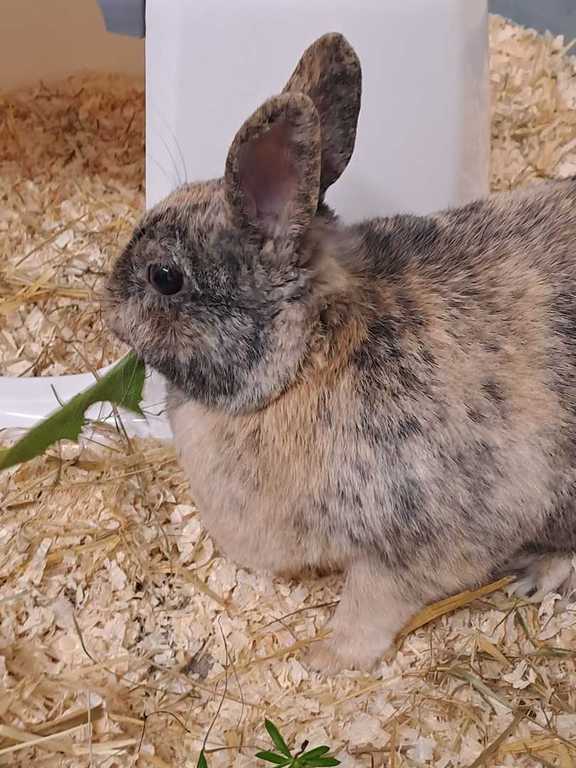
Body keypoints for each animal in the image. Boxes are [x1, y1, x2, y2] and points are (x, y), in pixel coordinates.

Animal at [105, 32, 576, 675]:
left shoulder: (421, 541)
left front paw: (327, 658)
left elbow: (370, 604)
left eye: (166, 278)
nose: (107, 299)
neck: (305, 359)